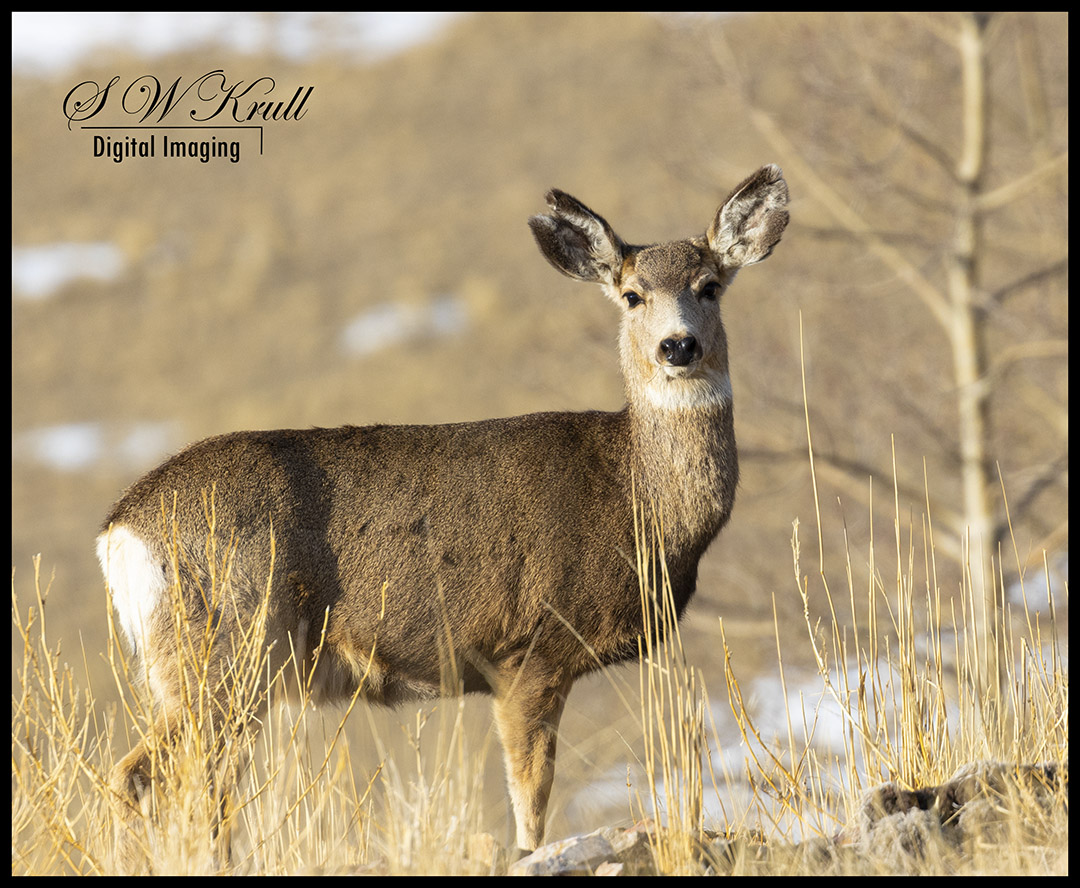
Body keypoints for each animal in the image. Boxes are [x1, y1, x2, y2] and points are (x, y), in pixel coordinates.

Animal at [97, 165, 788, 859]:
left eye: (709, 286)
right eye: (632, 295)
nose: (679, 346)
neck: (632, 494)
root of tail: (120, 529)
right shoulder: (529, 651)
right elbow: (531, 801)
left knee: (198, 791)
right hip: (224, 650)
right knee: (137, 776)